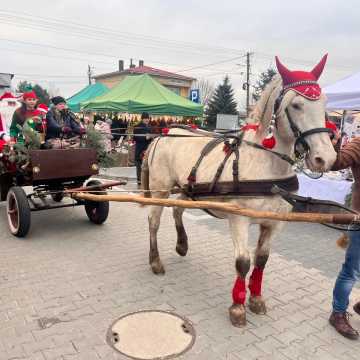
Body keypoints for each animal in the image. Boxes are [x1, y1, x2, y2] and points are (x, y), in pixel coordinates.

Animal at [141, 55, 338, 326]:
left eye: (324, 103)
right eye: (297, 105)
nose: (325, 158)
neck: (266, 164)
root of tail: (165, 133)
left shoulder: (275, 223)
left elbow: (262, 260)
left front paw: (255, 299)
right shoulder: (239, 219)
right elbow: (243, 262)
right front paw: (237, 306)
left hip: (188, 189)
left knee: (178, 211)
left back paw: (182, 244)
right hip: (160, 189)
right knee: (154, 221)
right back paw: (155, 261)